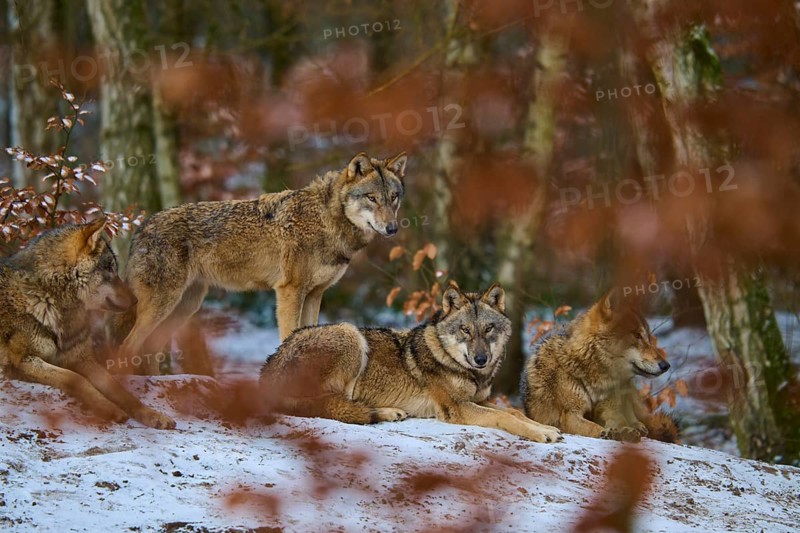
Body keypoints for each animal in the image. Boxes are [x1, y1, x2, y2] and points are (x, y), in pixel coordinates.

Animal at [0, 220, 175, 429]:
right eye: (110, 269)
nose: (136, 301)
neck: (49, 299)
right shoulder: (22, 361)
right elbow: (75, 378)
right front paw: (109, 408)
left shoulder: (83, 359)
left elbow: (120, 391)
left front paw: (153, 415)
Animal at [117, 152, 407, 375]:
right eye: (372, 198)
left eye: (393, 197)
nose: (392, 229)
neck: (327, 220)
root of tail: (141, 228)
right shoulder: (290, 291)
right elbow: (289, 335)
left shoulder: (315, 294)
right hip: (163, 305)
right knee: (127, 348)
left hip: (185, 306)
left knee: (150, 350)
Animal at [260, 281, 562, 443]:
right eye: (465, 330)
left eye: (488, 329)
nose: (481, 359)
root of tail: (266, 371)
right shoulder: (456, 409)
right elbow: (504, 416)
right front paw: (541, 434)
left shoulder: (479, 399)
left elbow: (514, 412)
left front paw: (545, 428)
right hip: (350, 333)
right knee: (331, 407)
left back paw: (389, 412)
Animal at [521, 289, 676, 443]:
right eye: (637, 335)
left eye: (647, 337)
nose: (666, 365)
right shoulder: (570, 415)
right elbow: (593, 427)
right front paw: (608, 432)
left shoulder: (609, 409)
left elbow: (620, 420)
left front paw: (625, 430)